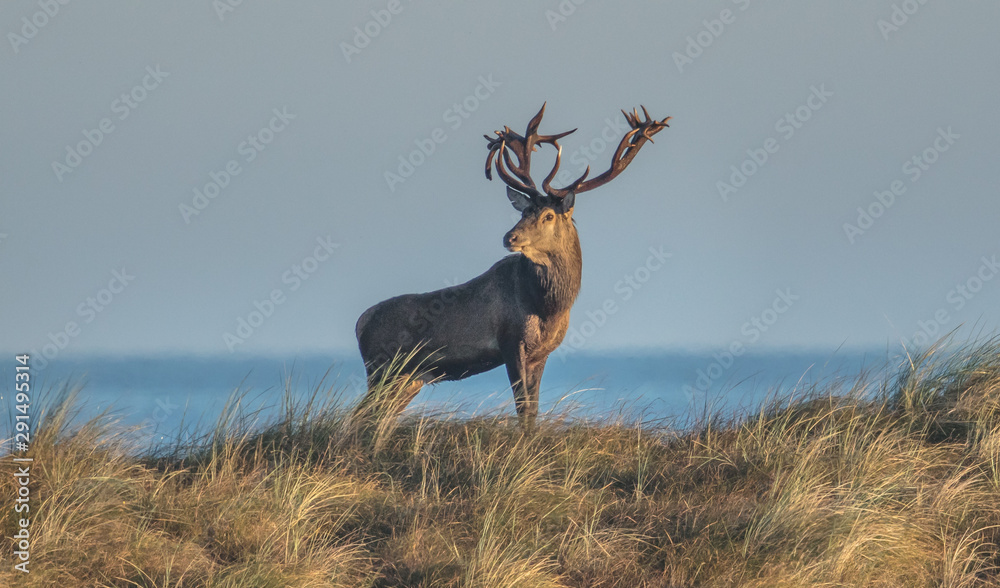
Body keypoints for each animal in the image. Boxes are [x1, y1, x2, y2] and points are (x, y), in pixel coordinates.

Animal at [354, 103, 670, 429]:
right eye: (524, 211)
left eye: (548, 215)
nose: (510, 236)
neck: (548, 307)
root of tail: (359, 324)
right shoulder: (511, 342)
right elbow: (523, 409)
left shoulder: (542, 353)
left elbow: (533, 411)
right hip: (382, 368)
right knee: (359, 415)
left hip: (408, 378)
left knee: (374, 418)